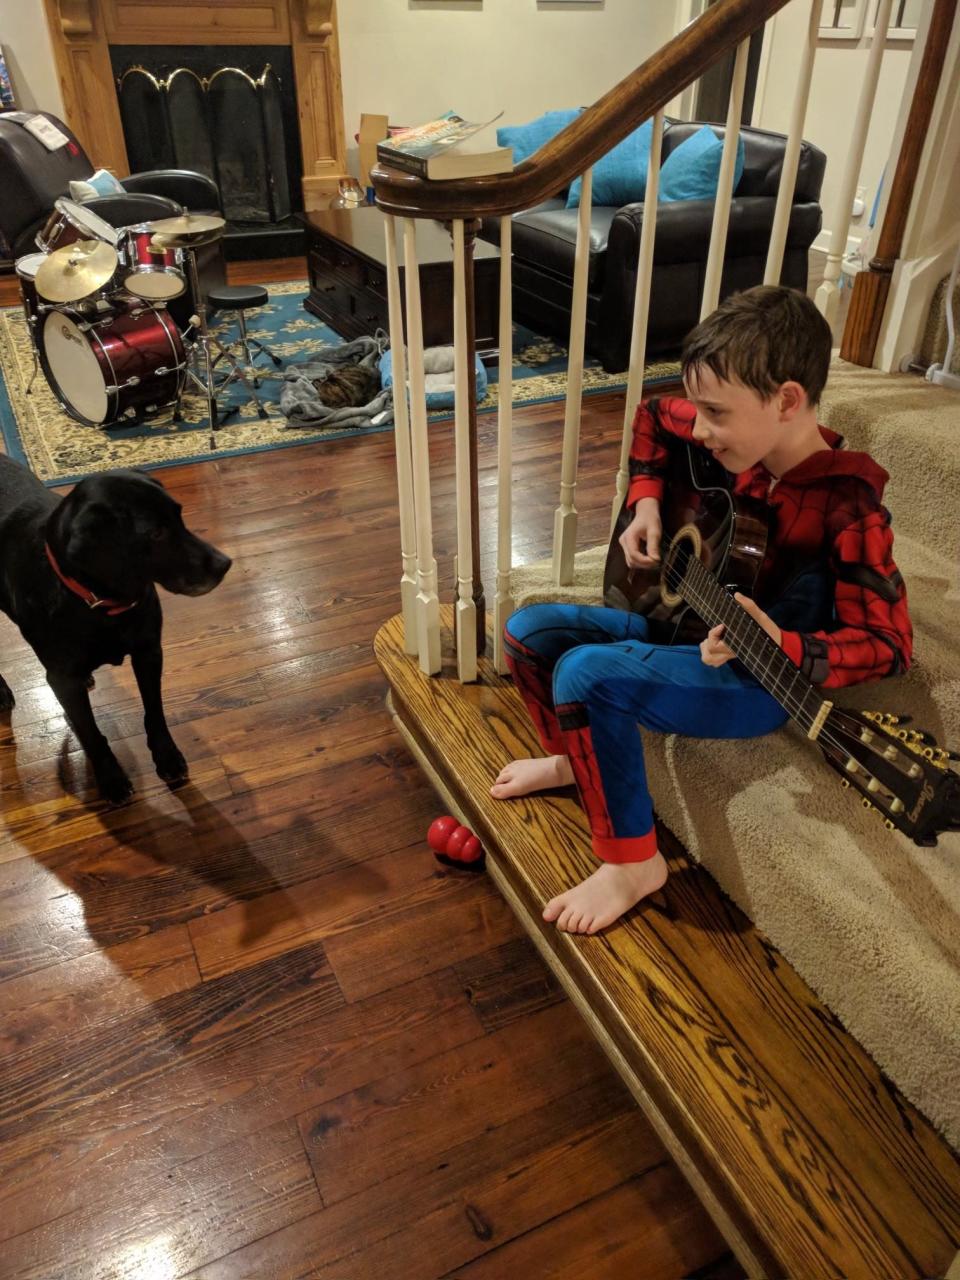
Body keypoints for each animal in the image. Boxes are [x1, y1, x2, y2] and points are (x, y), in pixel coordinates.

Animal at [0, 458, 231, 798]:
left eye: (179, 515)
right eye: (156, 533)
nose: (224, 563)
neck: (98, 603)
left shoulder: (149, 651)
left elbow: (155, 712)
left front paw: (167, 756)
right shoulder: (61, 679)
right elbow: (90, 732)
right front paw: (109, 777)